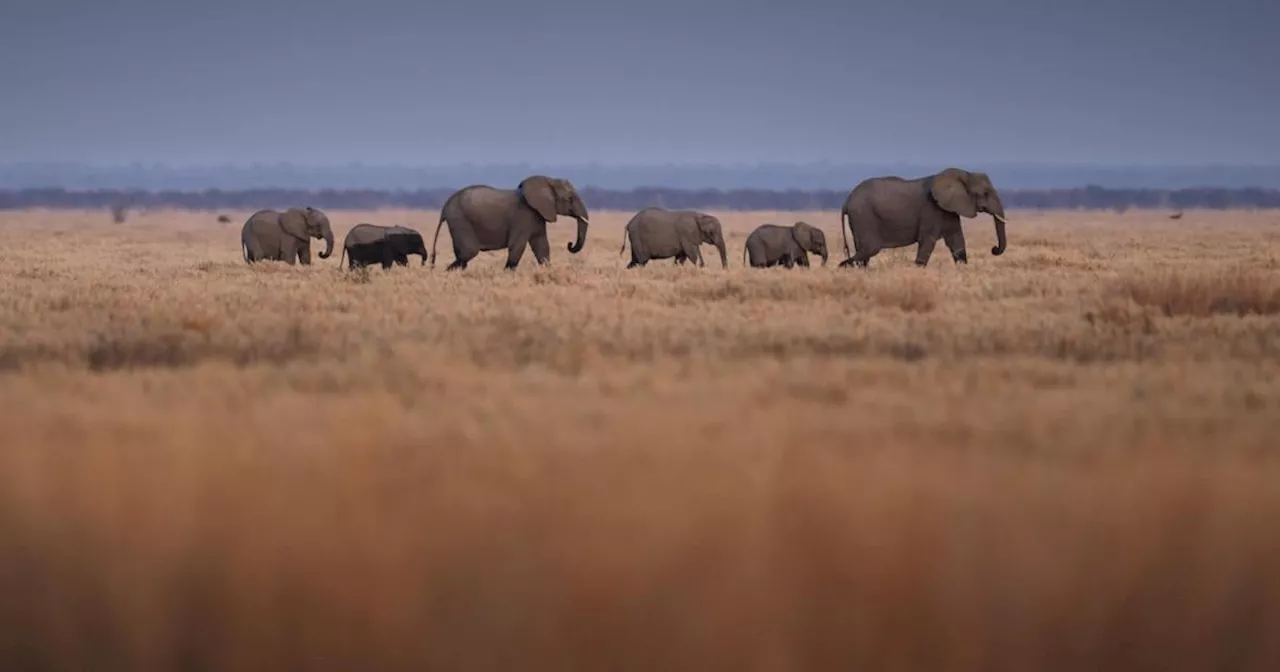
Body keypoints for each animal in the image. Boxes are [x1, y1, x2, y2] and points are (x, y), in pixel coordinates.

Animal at [430, 174, 588, 271]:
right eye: (570, 199)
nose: (569, 244)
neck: (548, 180)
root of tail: (444, 208)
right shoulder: (524, 216)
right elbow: (517, 246)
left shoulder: (538, 215)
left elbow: (542, 247)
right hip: (460, 220)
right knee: (468, 253)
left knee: (464, 257)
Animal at [839, 166, 1008, 268]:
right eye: (985, 194)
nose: (994, 249)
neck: (964, 174)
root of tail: (846, 202)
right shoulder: (931, 210)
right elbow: (928, 241)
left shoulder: (948, 209)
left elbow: (957, 241)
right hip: (863, 217)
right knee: (870, 249)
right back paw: (842, 267)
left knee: (864, 251)